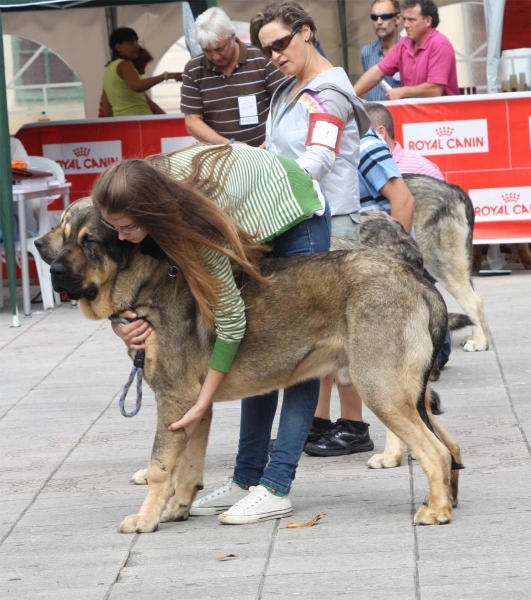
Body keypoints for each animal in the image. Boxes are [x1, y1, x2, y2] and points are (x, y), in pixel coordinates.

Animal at [37, 203, 464, 536]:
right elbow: (186, 466)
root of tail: (417, 280)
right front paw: (176, 509)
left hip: (381, 388)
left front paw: (145, 519)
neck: (147, 283)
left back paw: (436, 510)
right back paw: (448, 499)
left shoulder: (174, 400)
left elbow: (160, 466)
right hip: (406, 394)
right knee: (450, 446)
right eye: (65, 233)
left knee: (434, 451)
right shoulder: (195, 406)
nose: (53, 268)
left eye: (91, 241)